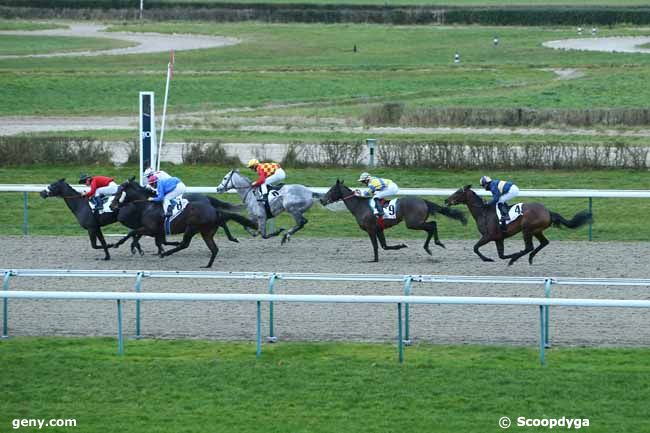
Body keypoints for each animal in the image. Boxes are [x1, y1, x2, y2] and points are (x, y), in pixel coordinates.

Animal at [110, 176, 254, 264]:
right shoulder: (157, 230)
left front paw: (118, 244)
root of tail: (207, 198)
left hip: (193, 227)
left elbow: (132, 232)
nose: (112, 206)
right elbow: (154, 240)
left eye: (119, 192)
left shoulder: (150, 228)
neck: (148, 205)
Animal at [320, 178, 466, 260]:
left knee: (433, 225)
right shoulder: (379, 229)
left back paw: (435, 244)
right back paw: (430, 247)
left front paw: (374, 259)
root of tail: (423, 201)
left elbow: (375, 246)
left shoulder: (370, 229)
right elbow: (384, 246)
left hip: (413, 223)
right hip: (416, 222)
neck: (359, 206)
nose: (322, 200)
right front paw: (401, 245)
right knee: (432, 226)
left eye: (332, 190)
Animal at [442, 182, 588, 264]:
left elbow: (475, 248)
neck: (483, 212)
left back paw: (515, 259)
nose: (446, 200)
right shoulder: (498, 238)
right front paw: (508, 256)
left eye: (458, 192)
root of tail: (547, 211)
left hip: (527, 229)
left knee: (529, 247)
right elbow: (501, 255)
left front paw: (488, 259)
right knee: (543, 243)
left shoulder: (488, 236)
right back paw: (529, 258)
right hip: (536, 230)